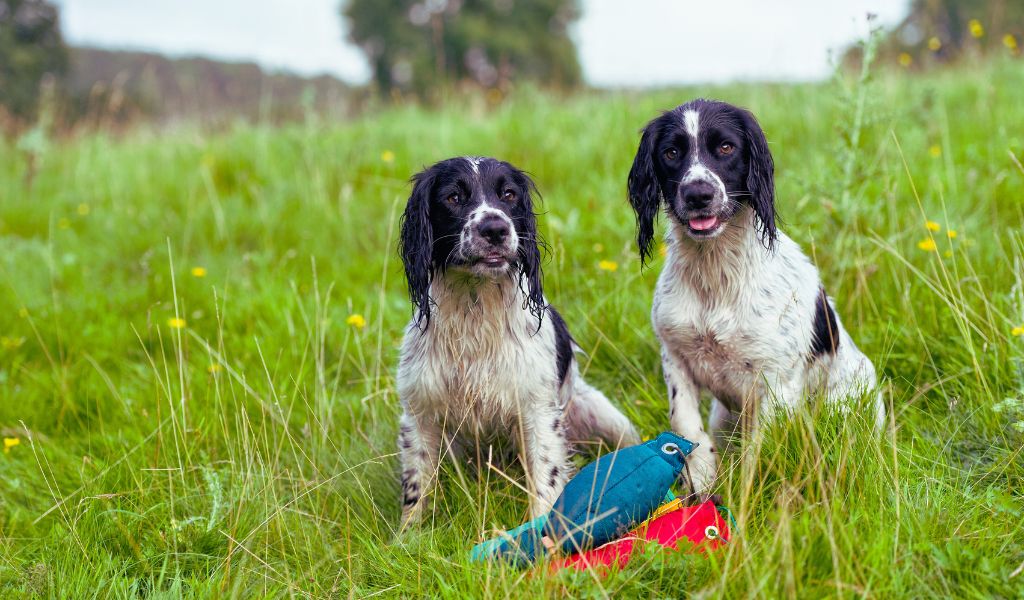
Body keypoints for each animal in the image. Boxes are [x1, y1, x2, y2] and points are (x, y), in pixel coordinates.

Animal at [399, 155, 638, 524]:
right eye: (453, 197)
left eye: (508, 194)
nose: (495, 228)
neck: (475, 309)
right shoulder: (419, 411)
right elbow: (416, 488)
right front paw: (409, 534)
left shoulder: (537, 409)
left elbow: (545, 478)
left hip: (606, 416)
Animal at [626, 99, 884, 495]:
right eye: (671, 152)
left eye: (725, 147)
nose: (698, 194)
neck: (716, 276)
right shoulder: (675, 356)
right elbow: (685, 423)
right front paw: (703, 481)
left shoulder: (776, 381)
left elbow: (756, 454)